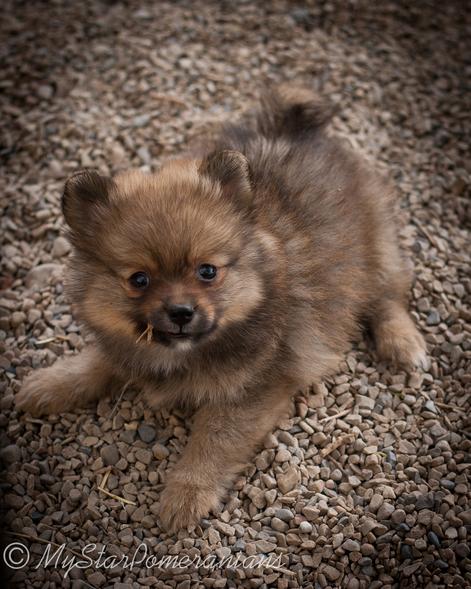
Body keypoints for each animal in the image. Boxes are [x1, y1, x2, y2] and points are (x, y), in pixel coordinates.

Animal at [16, 88, 428, 532]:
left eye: (207, 271)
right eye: (139, 279)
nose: (180, 311)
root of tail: (301, 132)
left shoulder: (252, 388)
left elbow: (212, 441)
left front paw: (186, 494)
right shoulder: (129, 345)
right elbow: (96, 363)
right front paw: (48, 384)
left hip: (376, 248)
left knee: (387, 297)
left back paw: (404, 344)